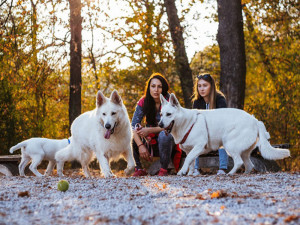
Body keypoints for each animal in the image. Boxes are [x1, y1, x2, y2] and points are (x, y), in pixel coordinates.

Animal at [158, 92, 290, 175]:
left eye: (169, 114)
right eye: (161, 114)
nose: (159, 124)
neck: (187, 122)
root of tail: (255, 120)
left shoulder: (198, 146)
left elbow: (188, 159)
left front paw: (182, 171)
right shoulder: (189, 150)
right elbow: (190, 162)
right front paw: (189, 173)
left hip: (228, 145)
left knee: (239, 162)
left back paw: (229, 174)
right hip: (243, 152)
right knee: (249, 165)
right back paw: (245, 174)